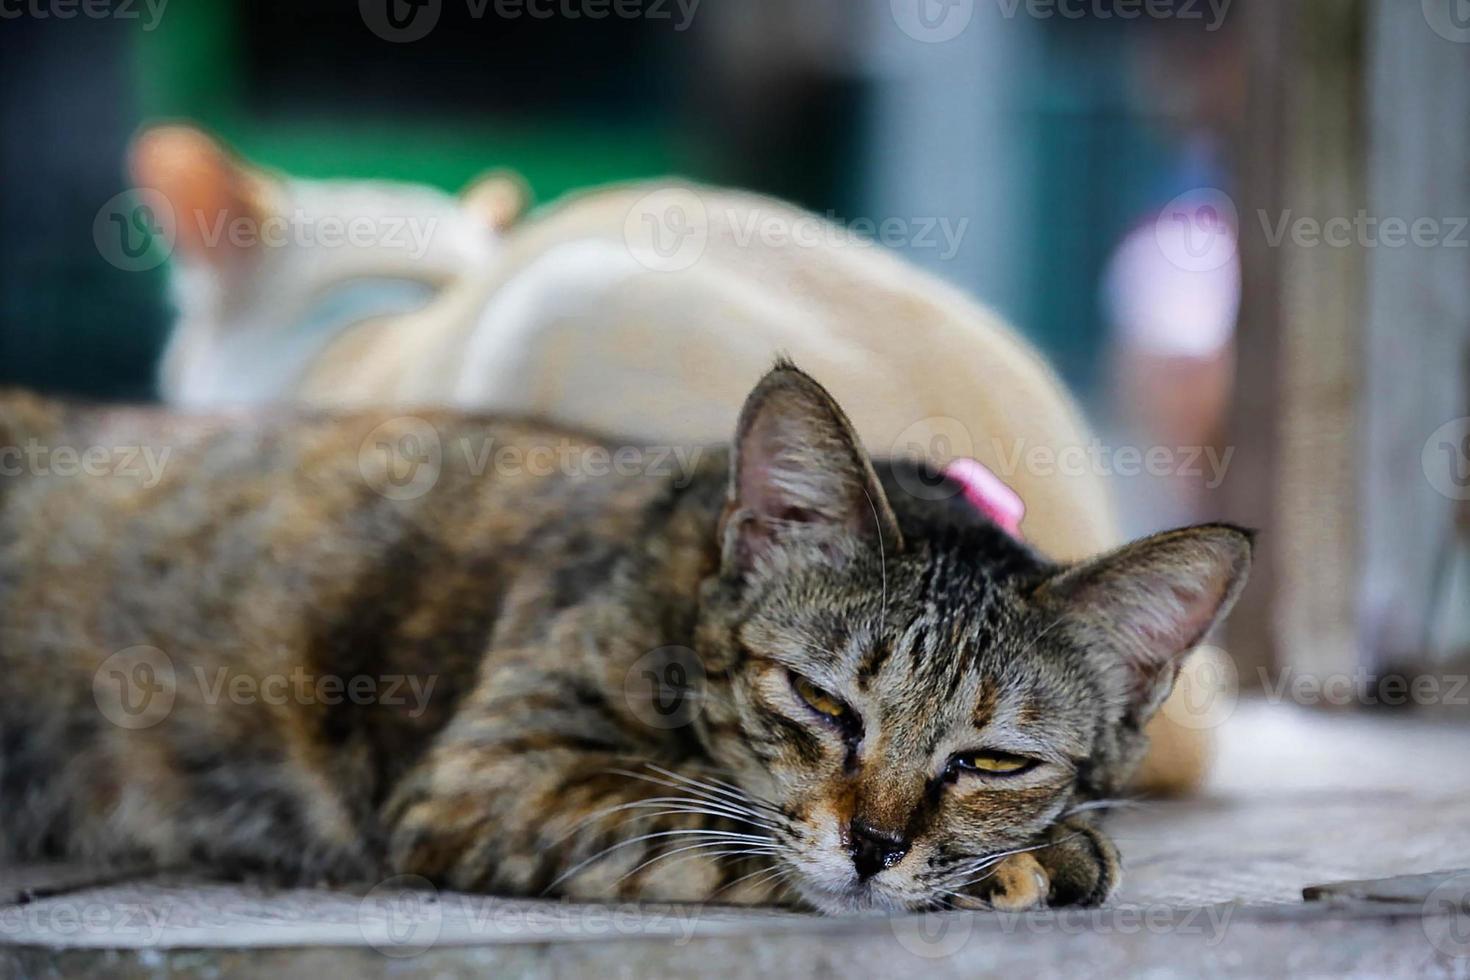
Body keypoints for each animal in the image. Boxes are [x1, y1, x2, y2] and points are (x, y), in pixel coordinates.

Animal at [0, 364, 1252, 916]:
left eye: (991, 759)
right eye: (823, 703)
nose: (877, 846)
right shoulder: (499, 774)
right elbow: (702, 814)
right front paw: (1035, 859)